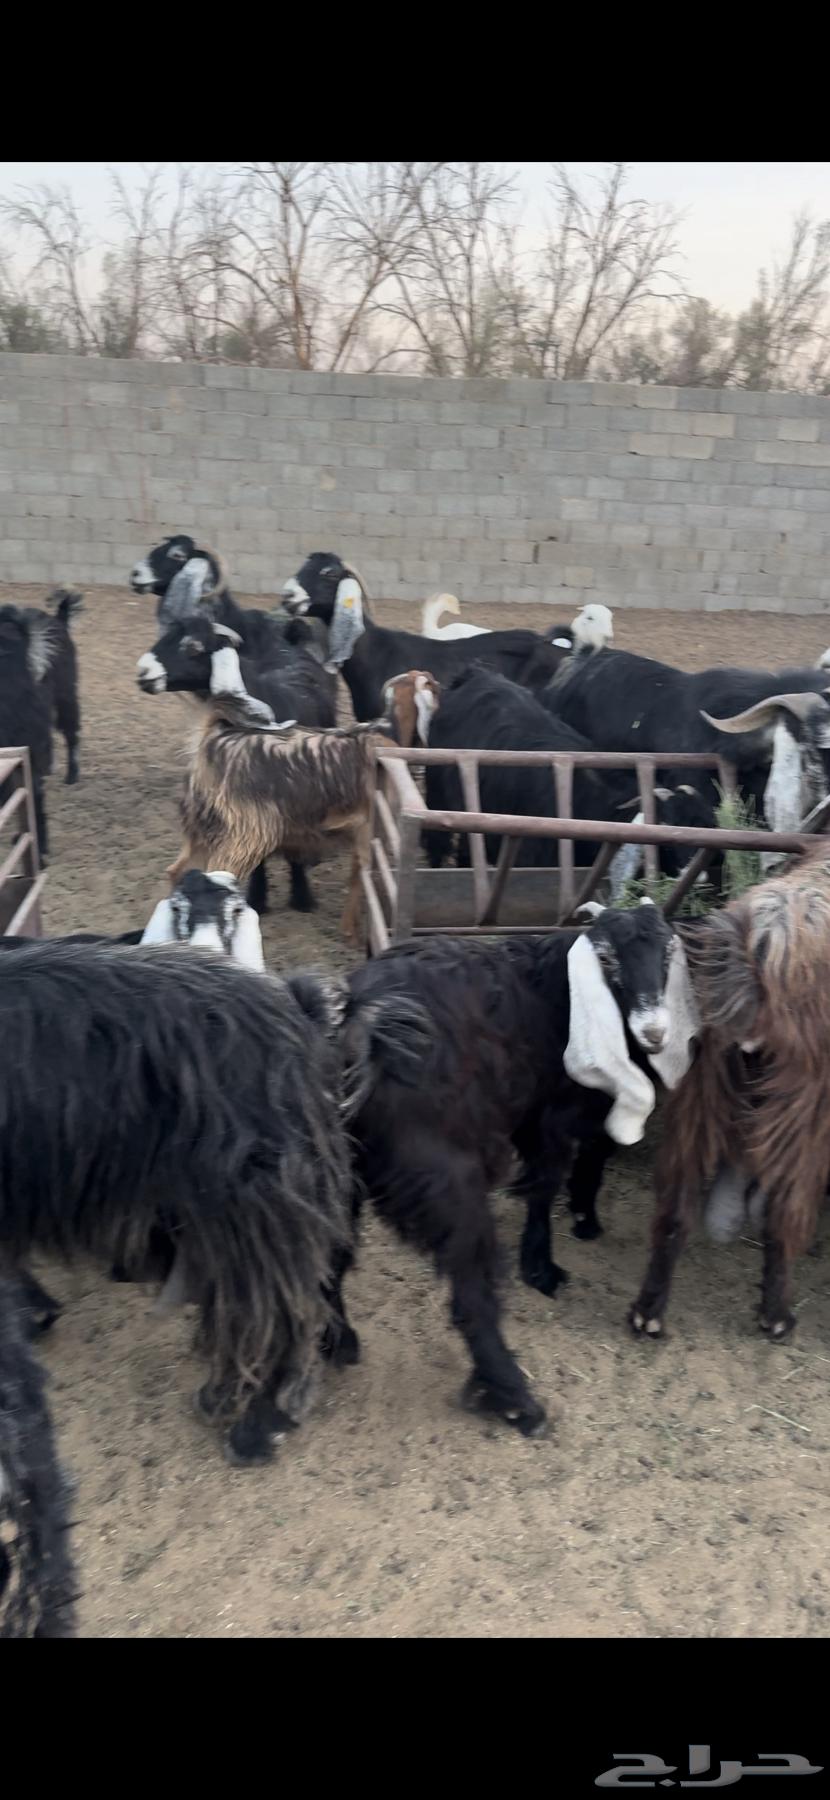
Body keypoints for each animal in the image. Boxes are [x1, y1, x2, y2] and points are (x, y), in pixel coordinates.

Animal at [167, 654, 389, 944]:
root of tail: (211, 739)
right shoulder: (365, 832)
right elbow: (360, 879)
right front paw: (352, 932)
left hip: (201, 829)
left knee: (177, 871)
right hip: (243, 835)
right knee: (214, 879)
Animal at [334, 904, 698, 1437]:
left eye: (668, 952)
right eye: (607, 957)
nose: (654, 1032)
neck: (562, 992)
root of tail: (360, 1027)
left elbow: (594, 1154)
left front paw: (586, 1217)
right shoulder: (552, 1112)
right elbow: (546, 1183)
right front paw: (541, 1266)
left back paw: (335, 1340)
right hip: (443, 1172)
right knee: (472, 1289)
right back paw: (516, 1400)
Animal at [630, 840, 830, 1344]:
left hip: (701, 1085)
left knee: (676, 1204)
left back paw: (648, 1311)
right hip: (804, 1104)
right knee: (784, 1211)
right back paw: (776, 1316)